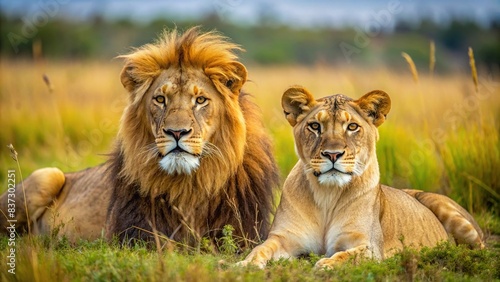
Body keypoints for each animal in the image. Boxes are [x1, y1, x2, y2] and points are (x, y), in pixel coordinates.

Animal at [0, 27, 280, 247]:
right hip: (47, 175)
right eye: (160, 99)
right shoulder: (137, 236)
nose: (176, 132)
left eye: (201, 100)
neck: (189, 186)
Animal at [238, 85, 484, 268]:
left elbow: (348, 255)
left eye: (352, 126)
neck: (327, 195)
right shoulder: (284, 239)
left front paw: (326, 264)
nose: (333, 154)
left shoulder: (370, 246)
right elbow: (260, 249)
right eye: (315, 126)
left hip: (448, 211)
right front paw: (245, 264)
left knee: (481, 248)